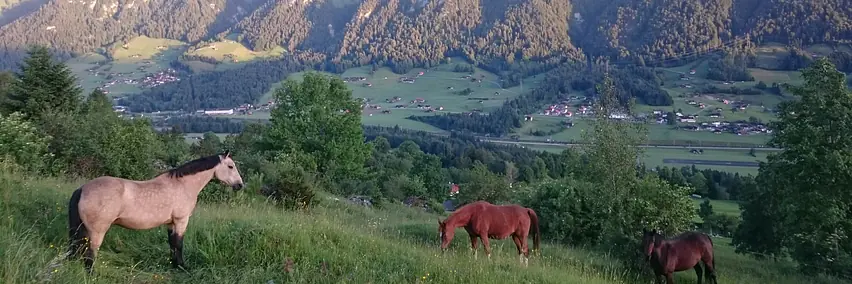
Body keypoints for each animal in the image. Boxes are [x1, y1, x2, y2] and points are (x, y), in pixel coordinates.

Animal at [65, 151, 243, 272]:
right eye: (230, 166)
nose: (240, 185)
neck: (183, 185)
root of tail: (82, 189)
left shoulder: (171, 223)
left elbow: (172, 243)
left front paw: (174, 264)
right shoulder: (181, 220)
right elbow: (179, 243)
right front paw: (182, 266)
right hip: (97, 231)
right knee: (90, 254)